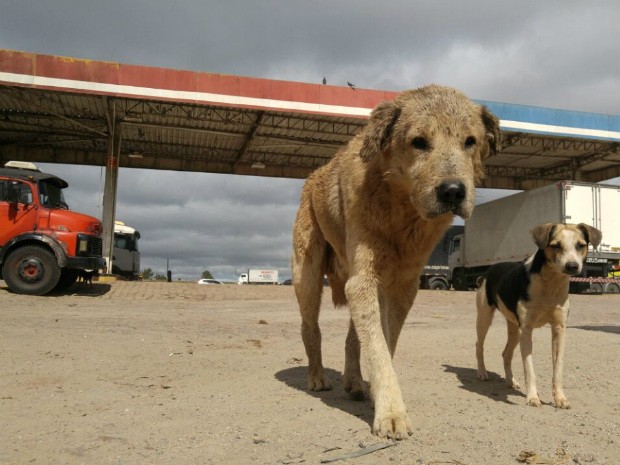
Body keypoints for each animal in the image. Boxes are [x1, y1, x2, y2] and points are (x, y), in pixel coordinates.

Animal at [294, 85, 502, 436]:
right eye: (419, 141)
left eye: (470, 141)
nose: (453, 191)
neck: (402, 213)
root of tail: (314, 174)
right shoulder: (366, 280)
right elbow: (377, 347)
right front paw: (391, 413)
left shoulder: (403, 285)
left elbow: (383, 343)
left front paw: (379, 396)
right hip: (306, 276)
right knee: (311, 328)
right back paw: (317, 377)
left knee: (352, 337)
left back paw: (354, 382)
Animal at [474, 221, 600, 406]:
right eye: (556, 245)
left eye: (580, 245)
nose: (572, 266)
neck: (550, 283)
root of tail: (489, 270)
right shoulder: (526, 329)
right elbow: (529, 368)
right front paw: (533, 397)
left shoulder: (559, 328)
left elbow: (558, 368)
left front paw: (560, 398)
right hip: (485, 318)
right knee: (479, 345)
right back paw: (482, 372)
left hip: (514, 328)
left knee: (506, 354)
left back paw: (511, 381)